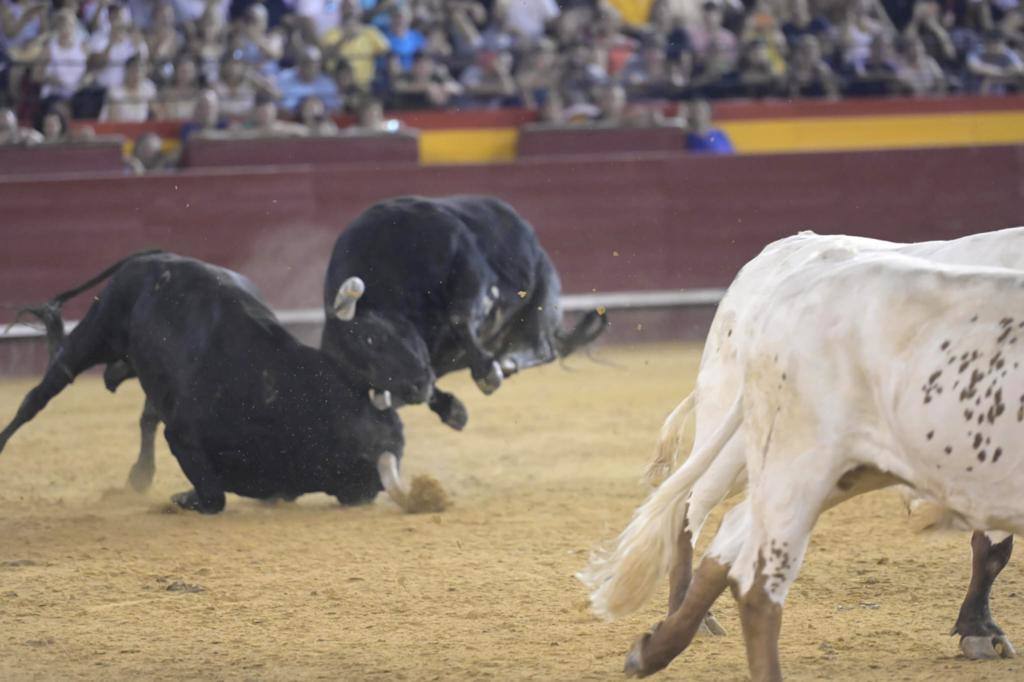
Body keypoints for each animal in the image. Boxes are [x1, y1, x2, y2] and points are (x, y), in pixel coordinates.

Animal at [0, 251, 415, 512]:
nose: (370, 494)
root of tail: (155, 258)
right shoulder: (182, 437)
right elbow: (215, 496)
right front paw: (184, 499)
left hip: (141, 362)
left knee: (143, 410)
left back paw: (139, 474)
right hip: (96, 333)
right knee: (43, 389)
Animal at [319, 192, 606, 425]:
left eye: (372, 339)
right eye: (362, 377)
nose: (413, 389)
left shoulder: (469, 267)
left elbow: (459, 317)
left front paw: (487, 373)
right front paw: (452, 409)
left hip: (542, 293)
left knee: (542, 348)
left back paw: (507, 362)